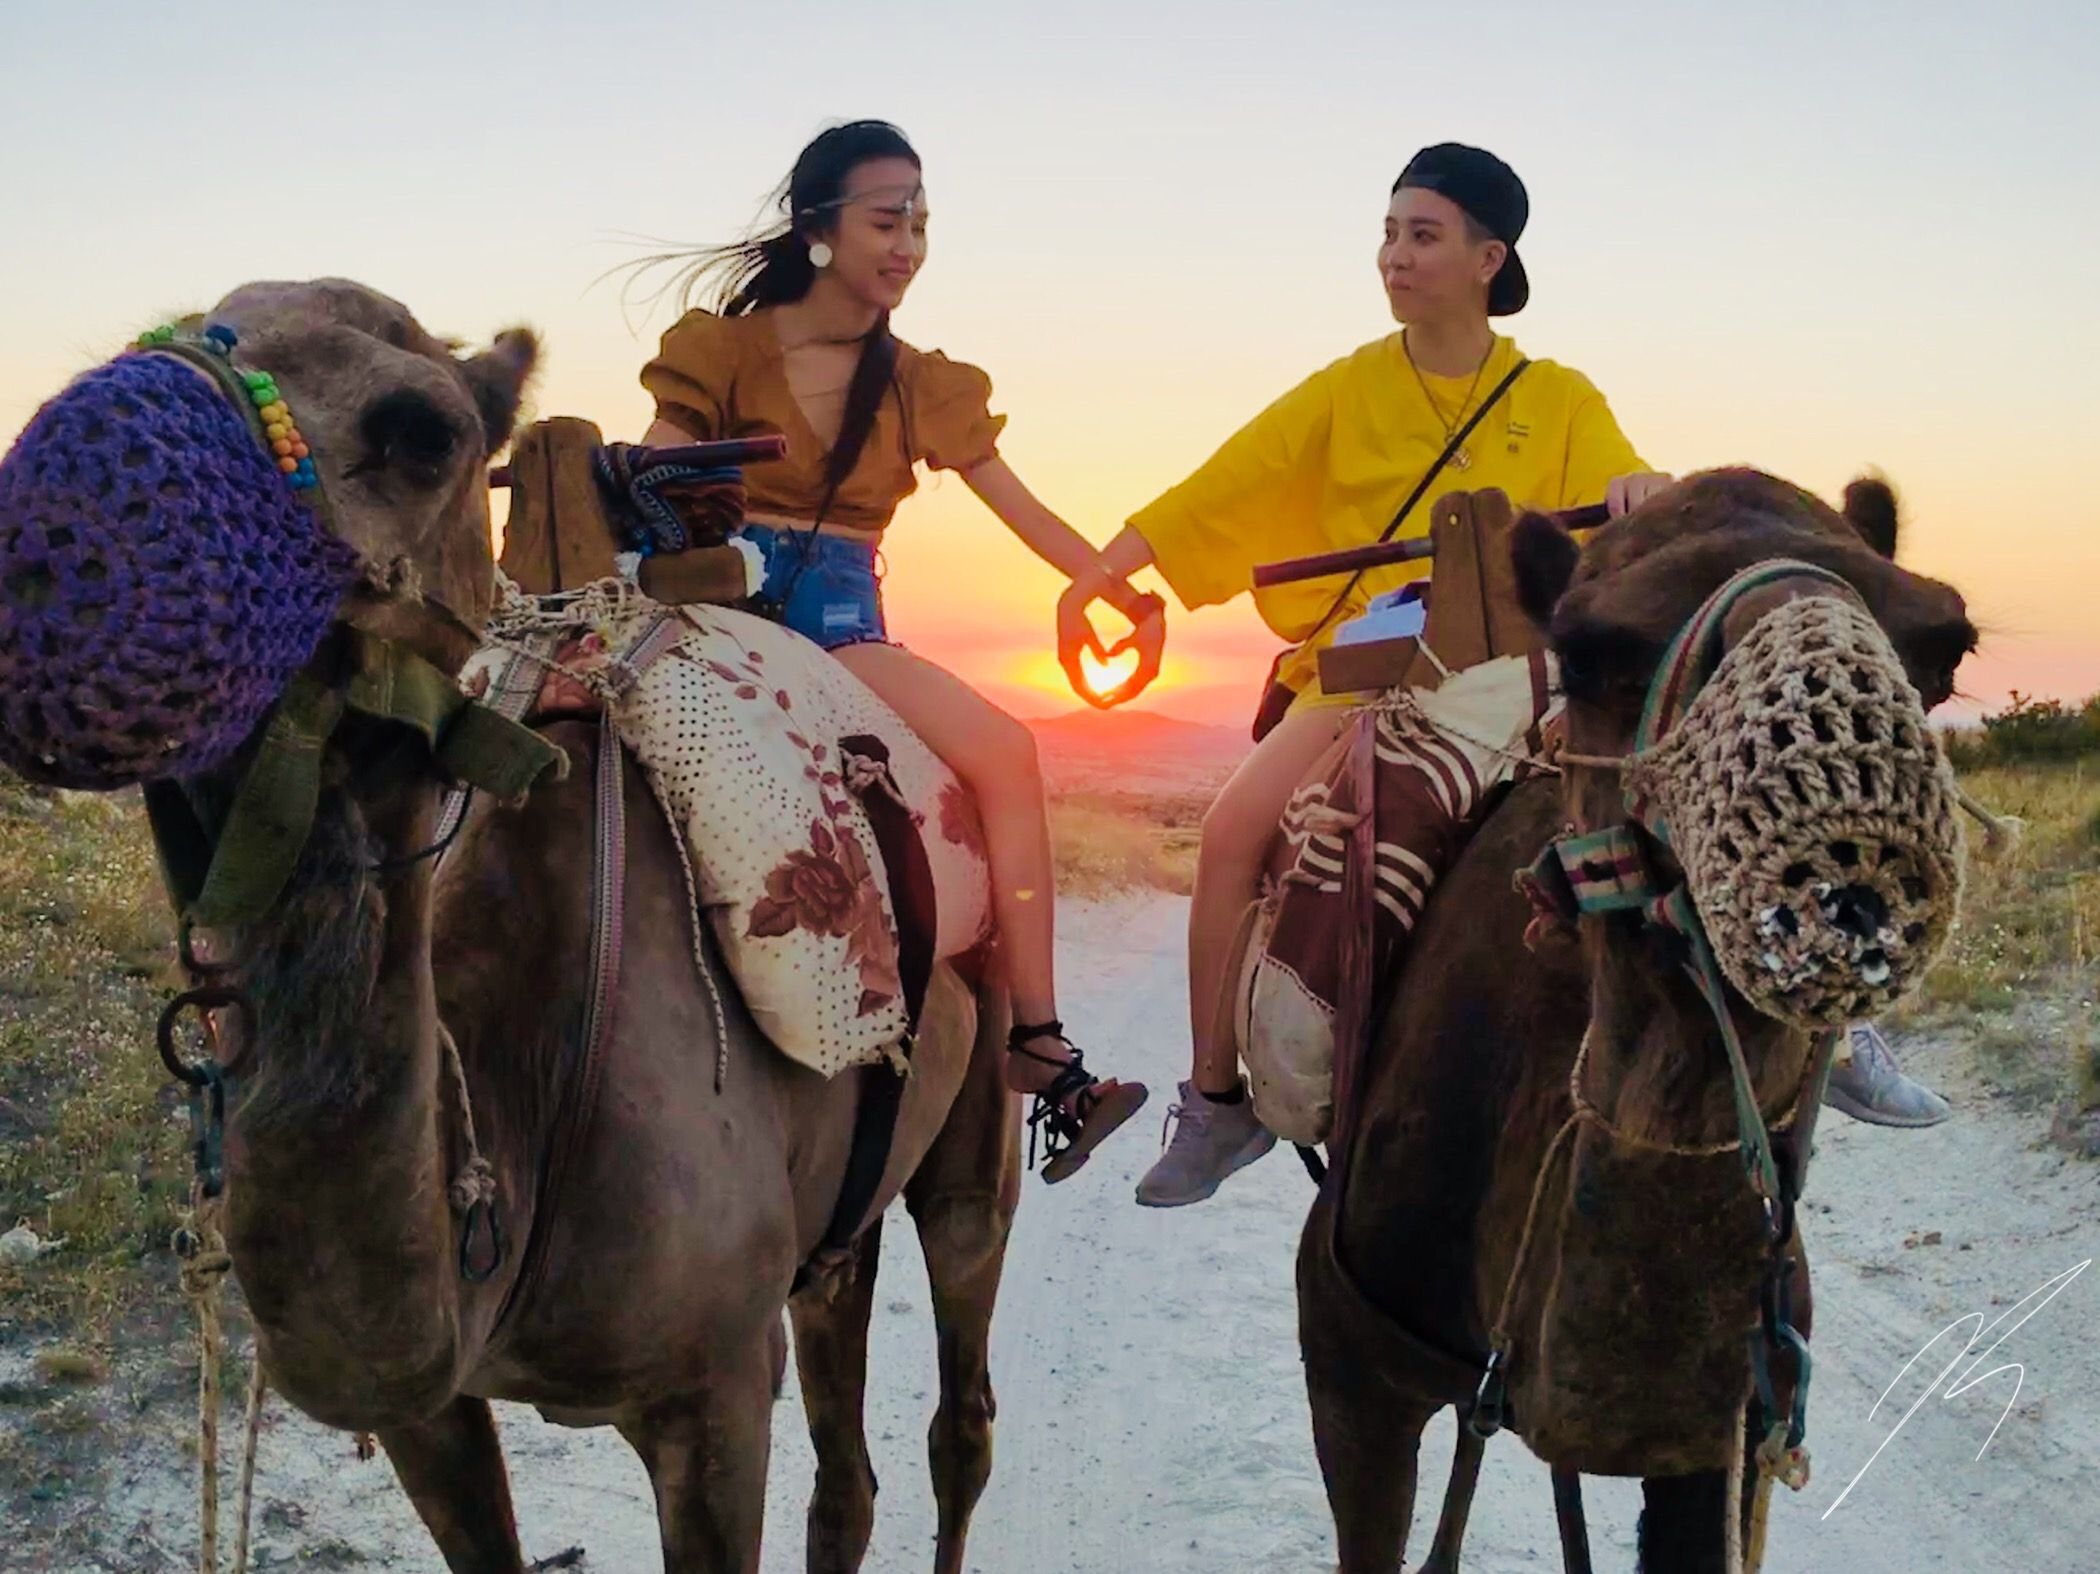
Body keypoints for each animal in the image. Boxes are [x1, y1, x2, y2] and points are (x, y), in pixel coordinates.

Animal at [6, 280, 1021, 1573]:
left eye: (425, 430)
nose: (62, 531)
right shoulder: (434, 1405)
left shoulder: (716, 1385)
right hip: (837, 1217)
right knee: (848, 1453)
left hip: (979, 1120)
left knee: (962, 1407)